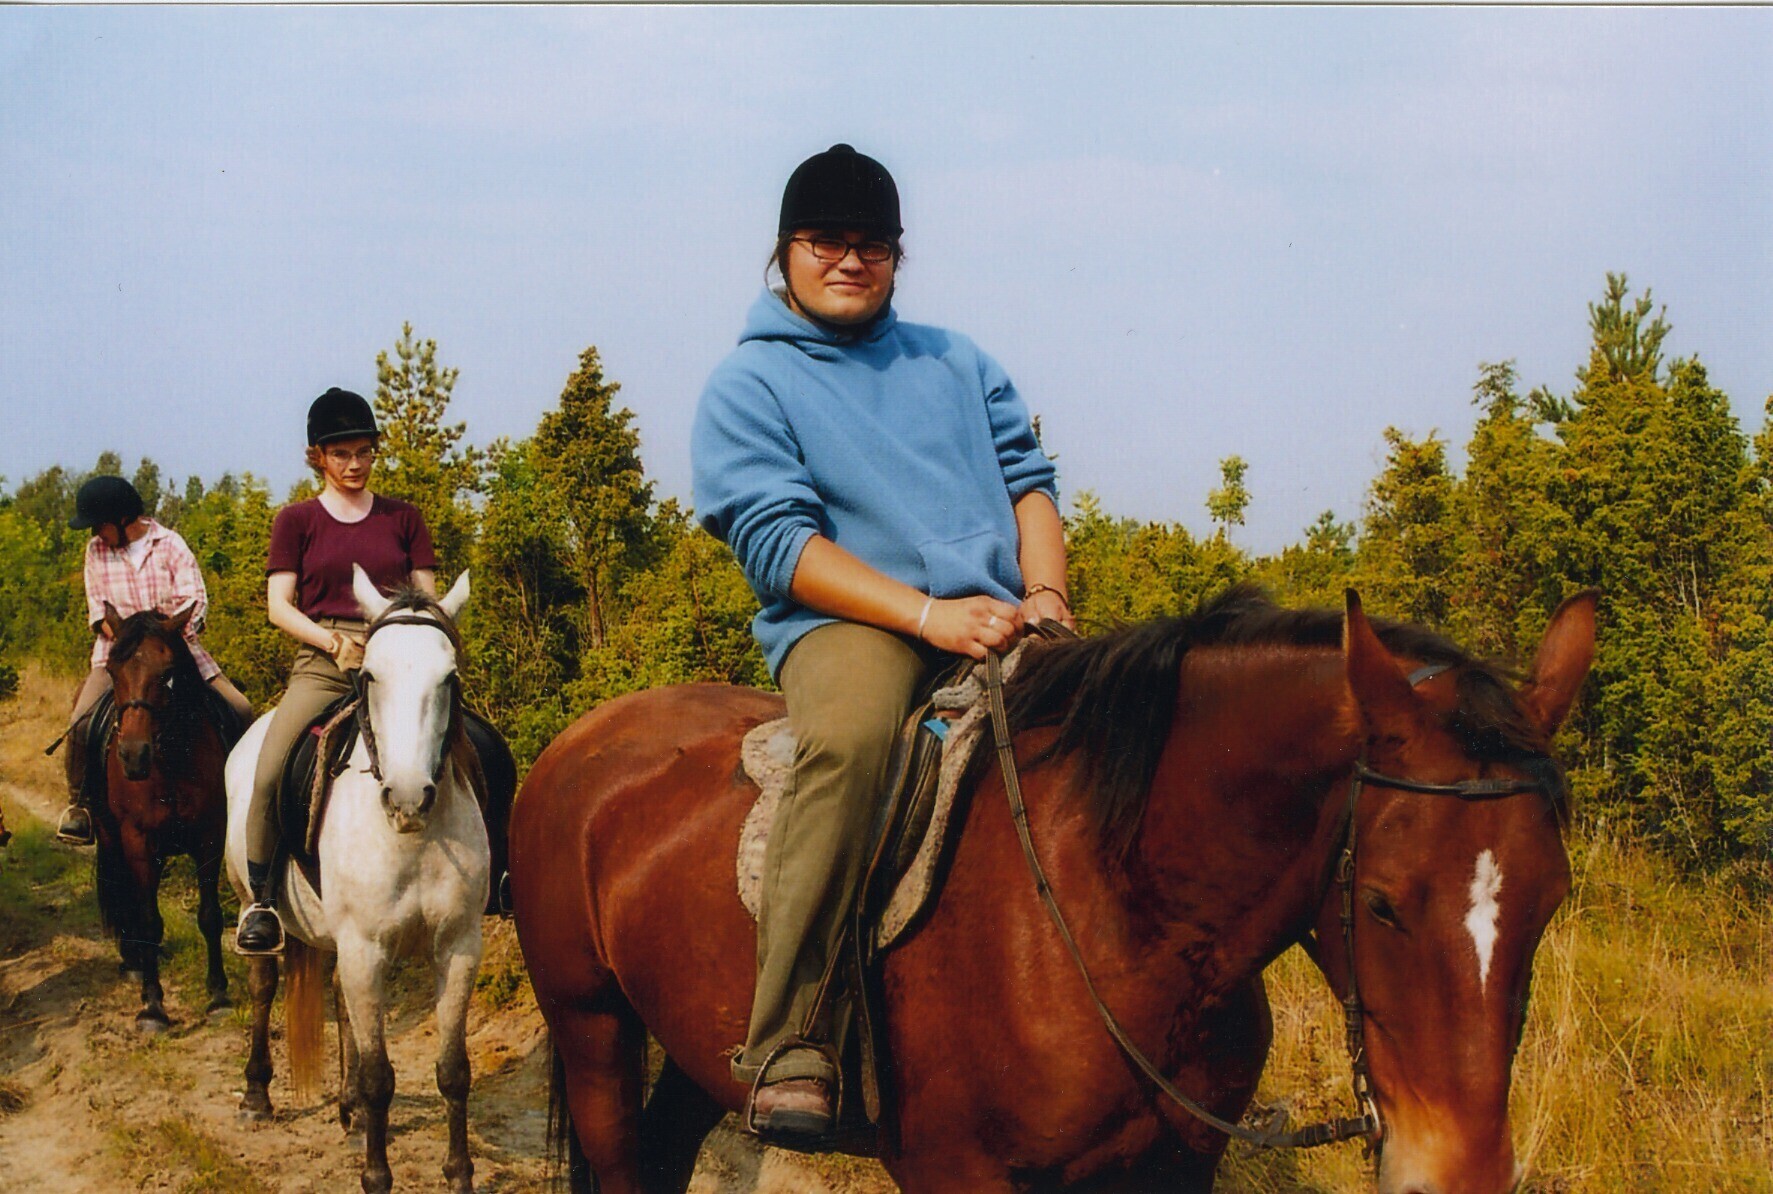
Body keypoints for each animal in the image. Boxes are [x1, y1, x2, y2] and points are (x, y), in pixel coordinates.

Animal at [92, 603, 237, 1032]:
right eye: (113, 671)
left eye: (168, 672)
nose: (133, 756)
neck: (170, 762)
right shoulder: (138, 841)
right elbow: (148, 921)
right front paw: (153, 1007)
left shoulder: (210, 836)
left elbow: (209, 915)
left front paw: (218, 995)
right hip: (110, 837)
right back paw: (134, 964)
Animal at [225, 566, 488, 1194]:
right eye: (369, 675)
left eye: (450, 677)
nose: (408, 797)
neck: (411, 839)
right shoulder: (365, 949)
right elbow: (378, 1077)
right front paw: (375, 1175)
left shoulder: (457, 947)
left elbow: (453, 1069)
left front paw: (458, 1174)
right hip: (255, 907)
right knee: (263, 986)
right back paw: (256, 1096)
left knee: (342, 1004)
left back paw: (350, 1115)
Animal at [512, 585, 1597, 1194]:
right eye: (1381, 903)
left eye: (1549, 903)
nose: (1456, 1177)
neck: (1113, 918)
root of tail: (580, 742)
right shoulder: (959, 1175)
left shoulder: (1169, 1172)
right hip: (592, 1024)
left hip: (697, 1052)